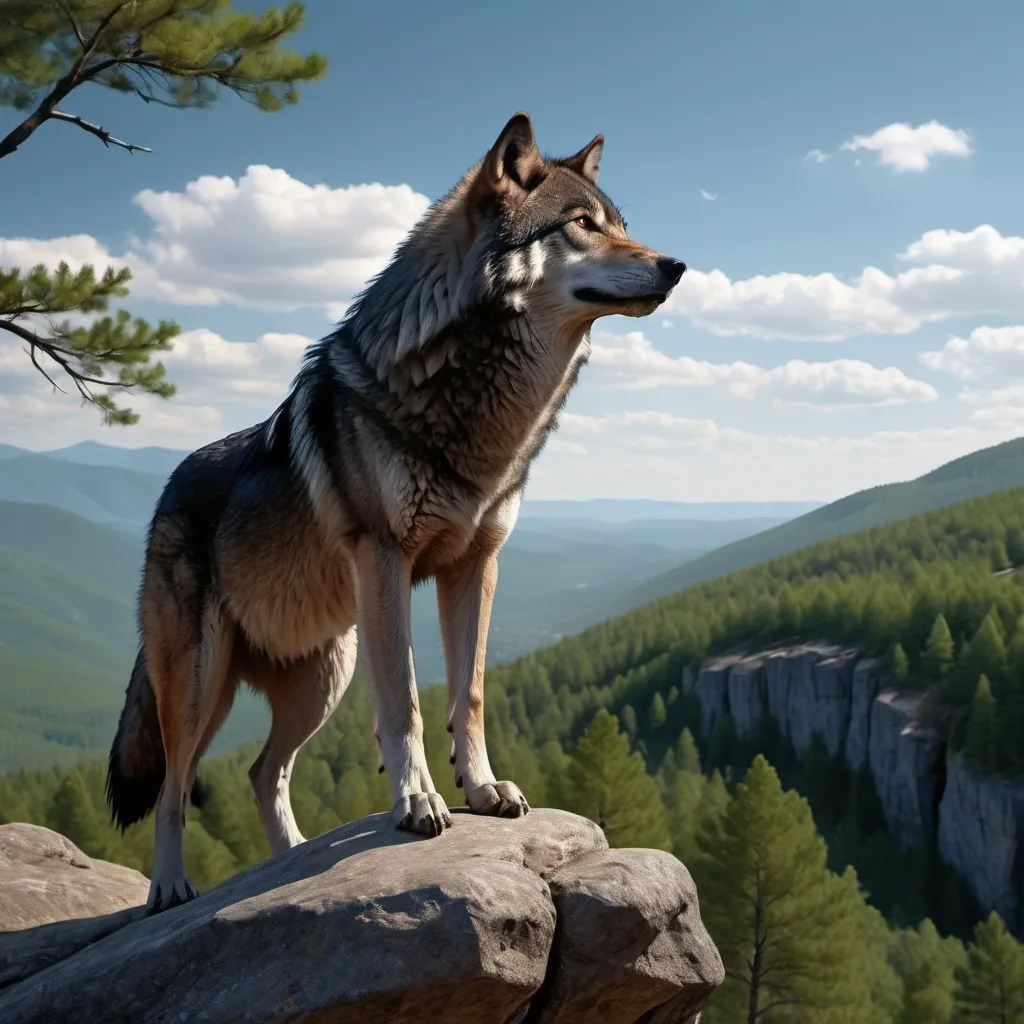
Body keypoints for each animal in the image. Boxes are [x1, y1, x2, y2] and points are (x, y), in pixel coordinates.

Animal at [103, 114, 688, 913]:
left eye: (623, 225)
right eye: (581, 225)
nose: (677, 264)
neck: (484, 418)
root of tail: (165, 491)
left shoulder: (476, 565)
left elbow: (468, 692)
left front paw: (483, 789)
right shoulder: (385, 560)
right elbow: (406, 702)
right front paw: (417, 803)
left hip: (323, 678)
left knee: (261, 771)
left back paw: (292, 859)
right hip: (201, 685)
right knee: (175, 782)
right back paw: (169, 886)